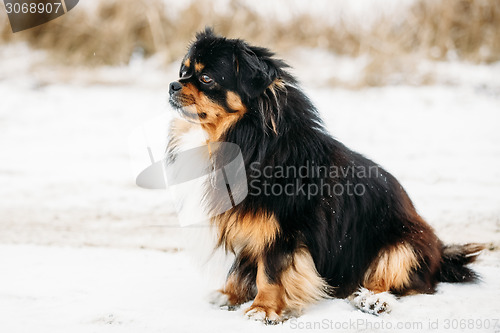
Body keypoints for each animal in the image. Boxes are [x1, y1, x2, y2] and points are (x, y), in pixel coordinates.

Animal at [167, 28, 484, 324]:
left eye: (206, 78)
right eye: (183, 72)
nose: (172, 85)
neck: (248, 138)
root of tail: (440, 251)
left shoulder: (282, 228)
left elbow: (270, 271)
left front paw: (263, 309)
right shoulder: (248, 222)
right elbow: (241, 265)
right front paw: (229, 295)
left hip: (403, 246)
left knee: (395, 281)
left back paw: (372, 300)